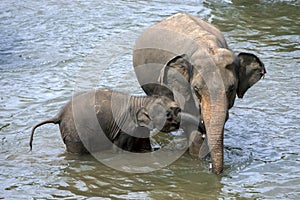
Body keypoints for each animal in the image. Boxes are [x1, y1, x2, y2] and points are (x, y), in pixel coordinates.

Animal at [29, 89, 180, 153]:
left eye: (177, 110)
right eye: (168, 114)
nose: (178, 123)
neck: (141, 101)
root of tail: (58, 115)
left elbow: (145, 146)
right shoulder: (125, 128)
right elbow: (119, 150)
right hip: (74, 133)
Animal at [132, 13, 266, 174]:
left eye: (231, 89)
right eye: (196, 90)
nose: (211, 169)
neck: (209, 47)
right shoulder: (182, 89)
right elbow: (193, 128)